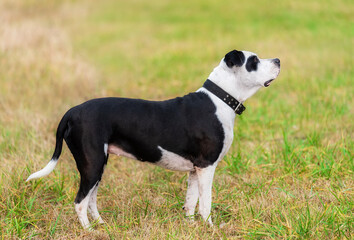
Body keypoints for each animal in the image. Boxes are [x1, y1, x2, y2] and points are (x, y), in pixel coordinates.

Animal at [26, 49, 280, 229]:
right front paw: (211, 228)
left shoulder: (195, 169)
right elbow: (205, 204)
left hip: (97, 166)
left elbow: (191, 202)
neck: (220, 99)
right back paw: (88, 231)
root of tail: (72, 112)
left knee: (91, 200)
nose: (278, 60)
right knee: (80, 201)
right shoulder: (207, 167)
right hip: (92, 164)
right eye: (254, 60)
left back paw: (101, 225)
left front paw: (190, 227)